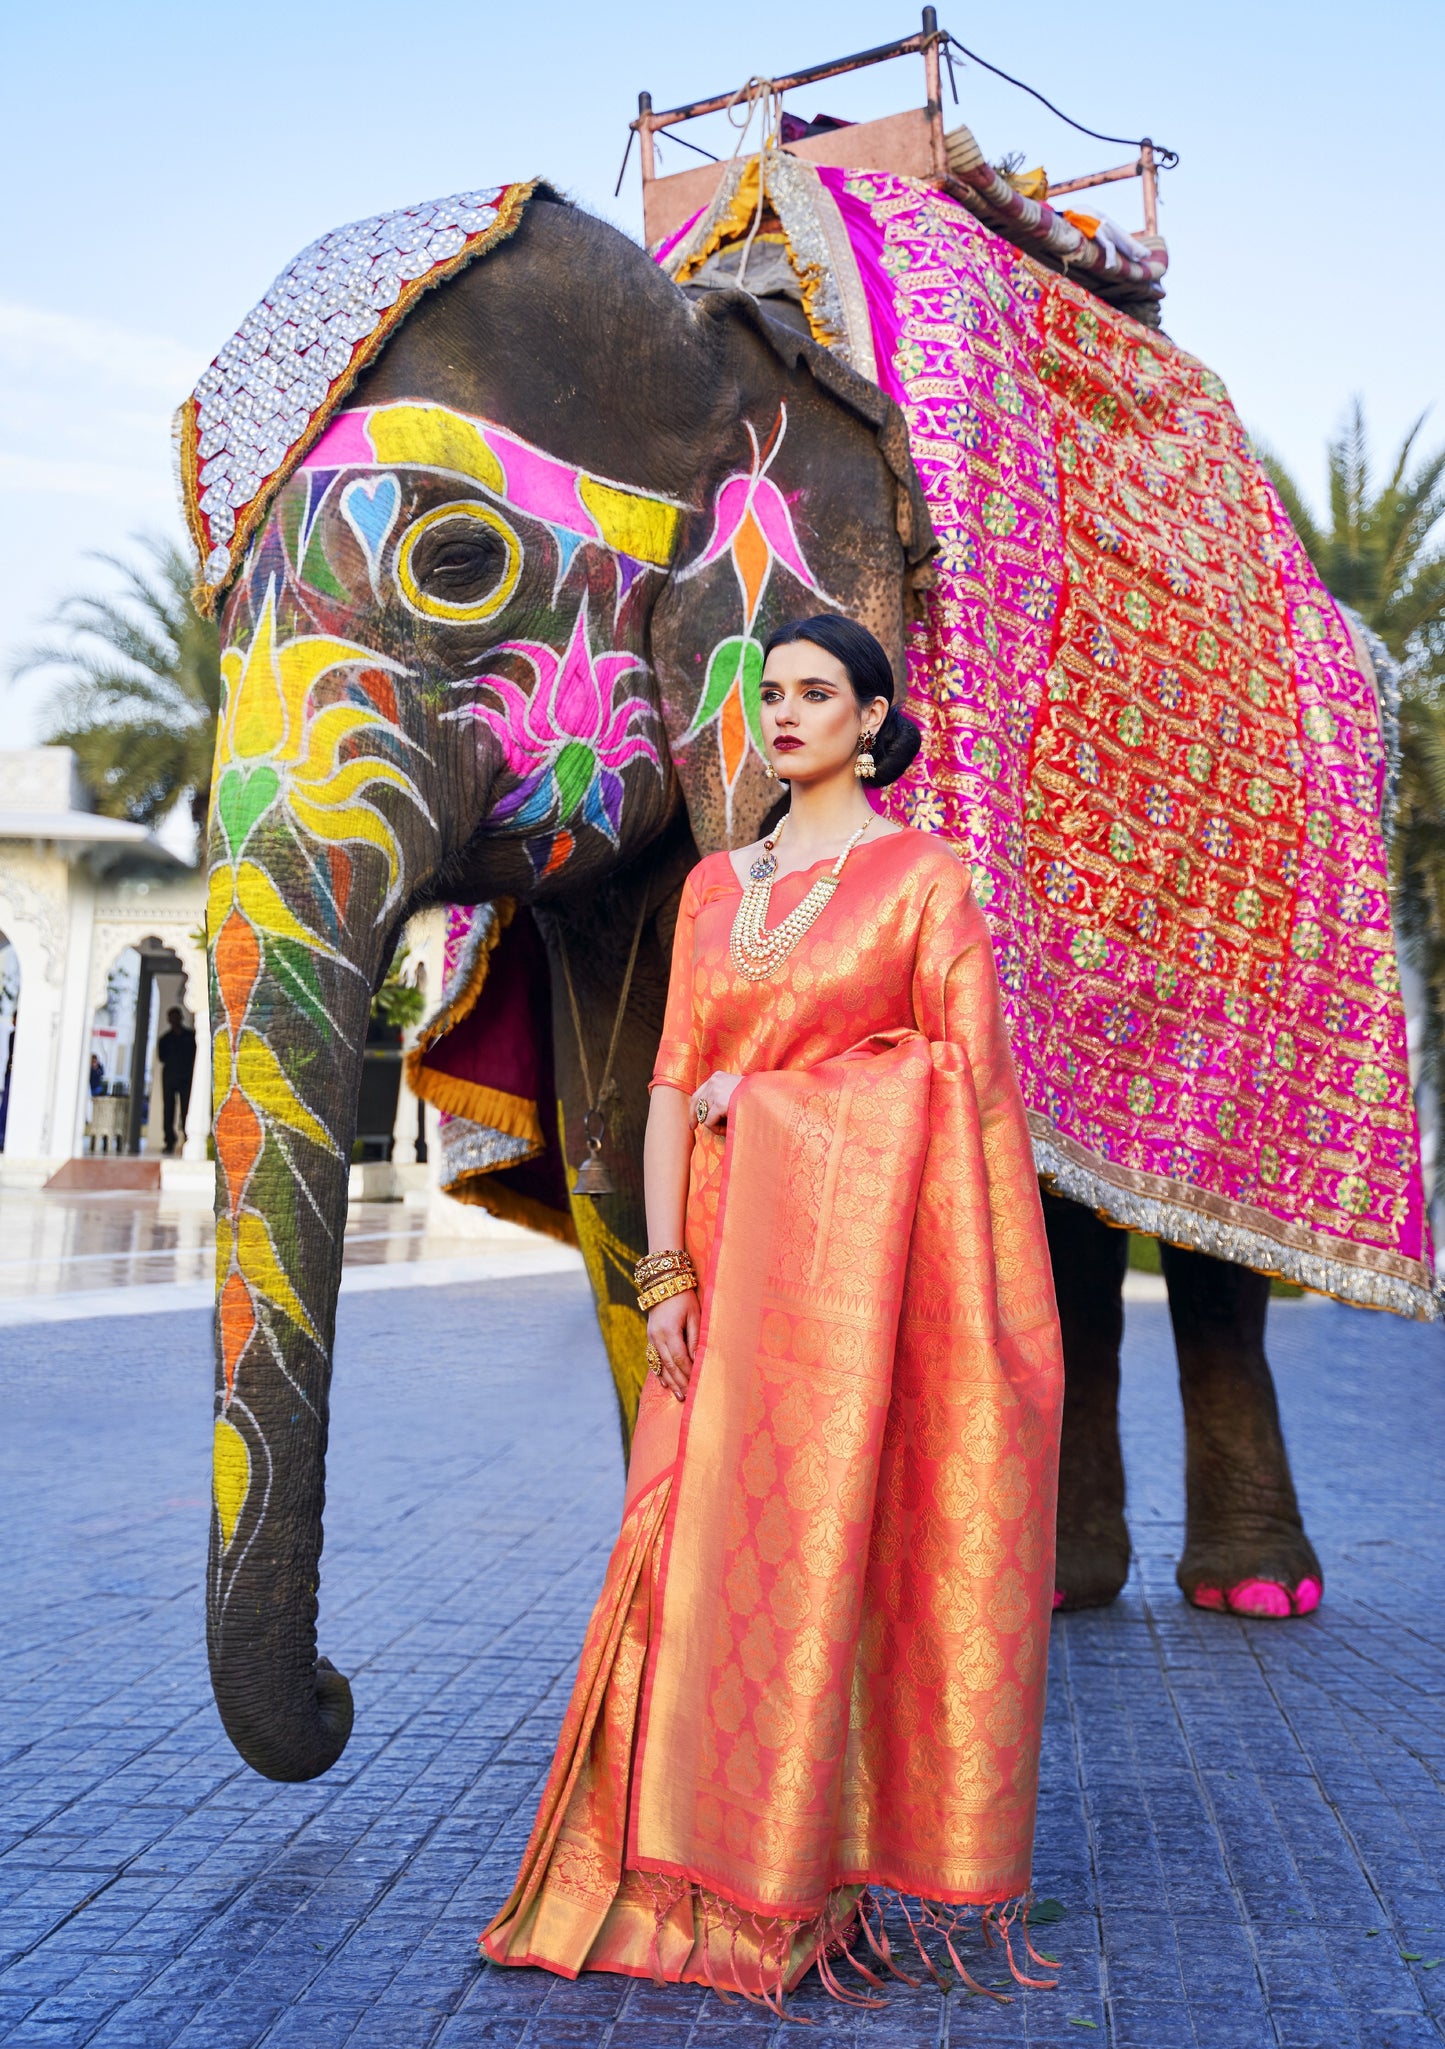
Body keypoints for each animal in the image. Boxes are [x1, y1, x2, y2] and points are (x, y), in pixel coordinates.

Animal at [194, 180, 1344, 1778]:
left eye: (459, 565)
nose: (337, 1693)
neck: (726, 332)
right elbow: (622, 1147)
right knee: (1069, 1227)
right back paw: (1062, 1586)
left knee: (1209, 1238)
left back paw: (1253, 1593)